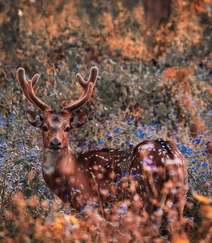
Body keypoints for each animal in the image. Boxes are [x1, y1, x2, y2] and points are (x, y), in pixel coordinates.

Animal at [17, 66, 189, 228]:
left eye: (67, 128)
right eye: (44, 127)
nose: (55, 142)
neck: (71, 174)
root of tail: (170, 157)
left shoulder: (90, 204)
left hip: (143, 197)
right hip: (179, 197)